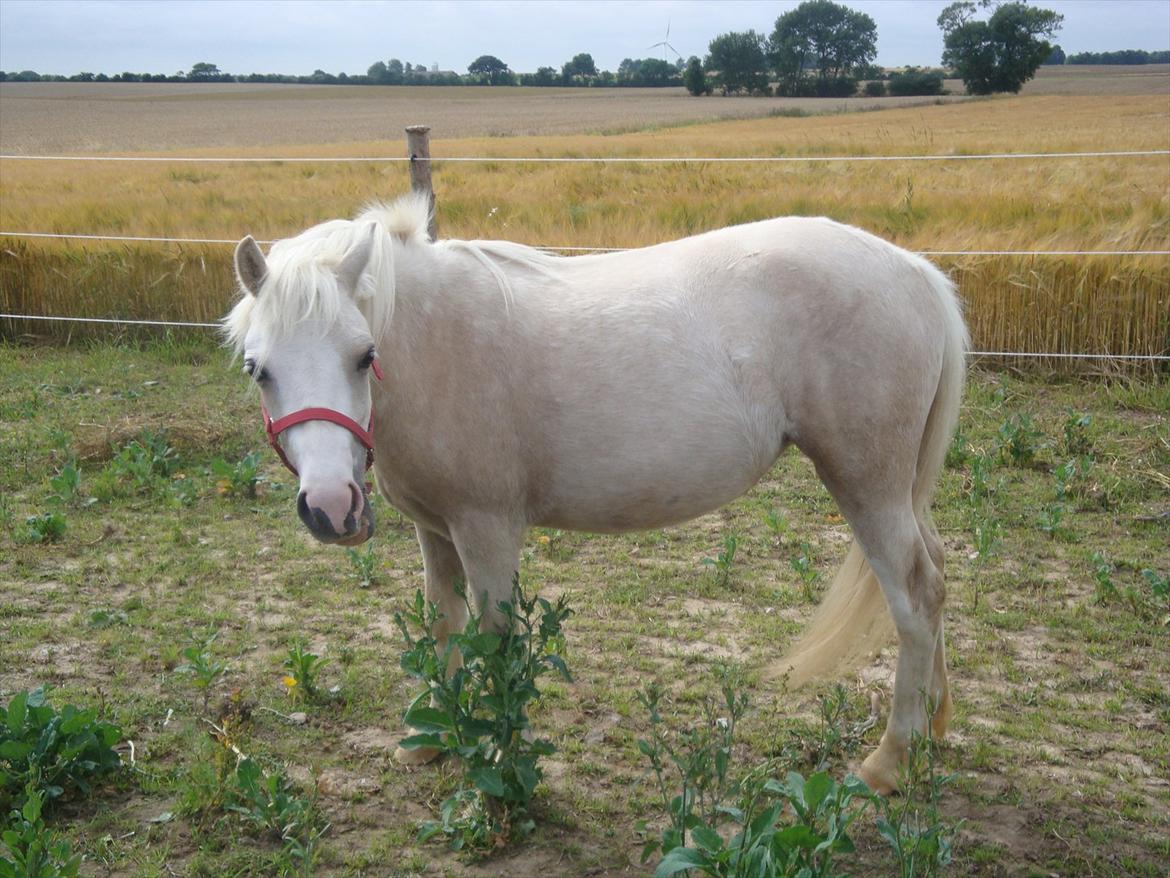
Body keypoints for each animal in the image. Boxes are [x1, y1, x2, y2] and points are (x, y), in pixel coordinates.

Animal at [221, 194, 968, 796]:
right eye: (258, 369)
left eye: (363, 355)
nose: (331, 508)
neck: (434, 345)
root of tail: (914, 271)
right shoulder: (434, 531)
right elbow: (443, 628)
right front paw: (432, 739)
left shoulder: (487, 528)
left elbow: (497, 643)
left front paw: (502, 760)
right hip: (899, 492)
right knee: (935, 579)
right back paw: (931, 729)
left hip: (867, 487)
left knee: (914, 596)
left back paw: (889, 761)